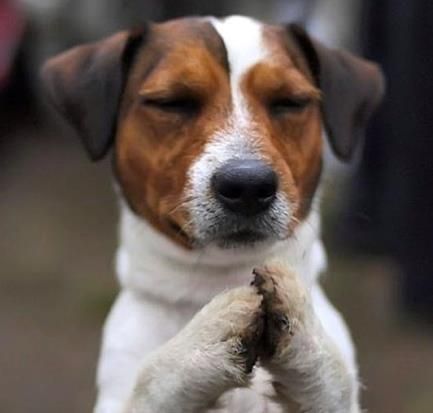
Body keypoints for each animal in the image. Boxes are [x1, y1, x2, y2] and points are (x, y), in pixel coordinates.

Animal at [42, 14, 384, 410]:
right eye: (172, 102)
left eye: (289, 102)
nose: (248, 185)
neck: (219, 277)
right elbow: (151, 379)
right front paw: (199, 342)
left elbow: (337, 381)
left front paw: (303, 329)